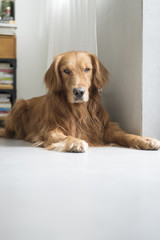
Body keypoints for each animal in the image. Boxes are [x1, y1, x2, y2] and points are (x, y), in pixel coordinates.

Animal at [0, 50, 160, 152]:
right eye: (66, 71)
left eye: (87, 69)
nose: (78, 92)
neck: (79, 111)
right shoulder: (49, 129)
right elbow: (60, 136)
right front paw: (74, 141)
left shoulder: (105, 128)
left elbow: (125, 135)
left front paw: (145, 140)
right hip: (19, 105)